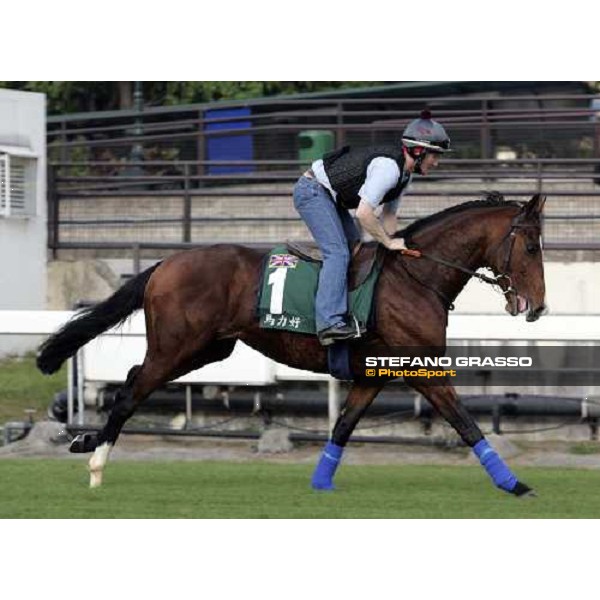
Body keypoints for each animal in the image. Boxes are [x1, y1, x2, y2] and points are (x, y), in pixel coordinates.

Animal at [35, 192, 548, 492]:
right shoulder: (422, 367)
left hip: (205, 349)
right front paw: (515, 484)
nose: (538, 305)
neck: (415, 276)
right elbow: (466, 423)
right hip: (176, 346)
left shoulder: (374, 374)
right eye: (530, 247)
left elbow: (343, 427)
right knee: (131, 389)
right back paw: (96, 461)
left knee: (131, 378)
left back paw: (87, 440)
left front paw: (320, 484)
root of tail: (164, 263)